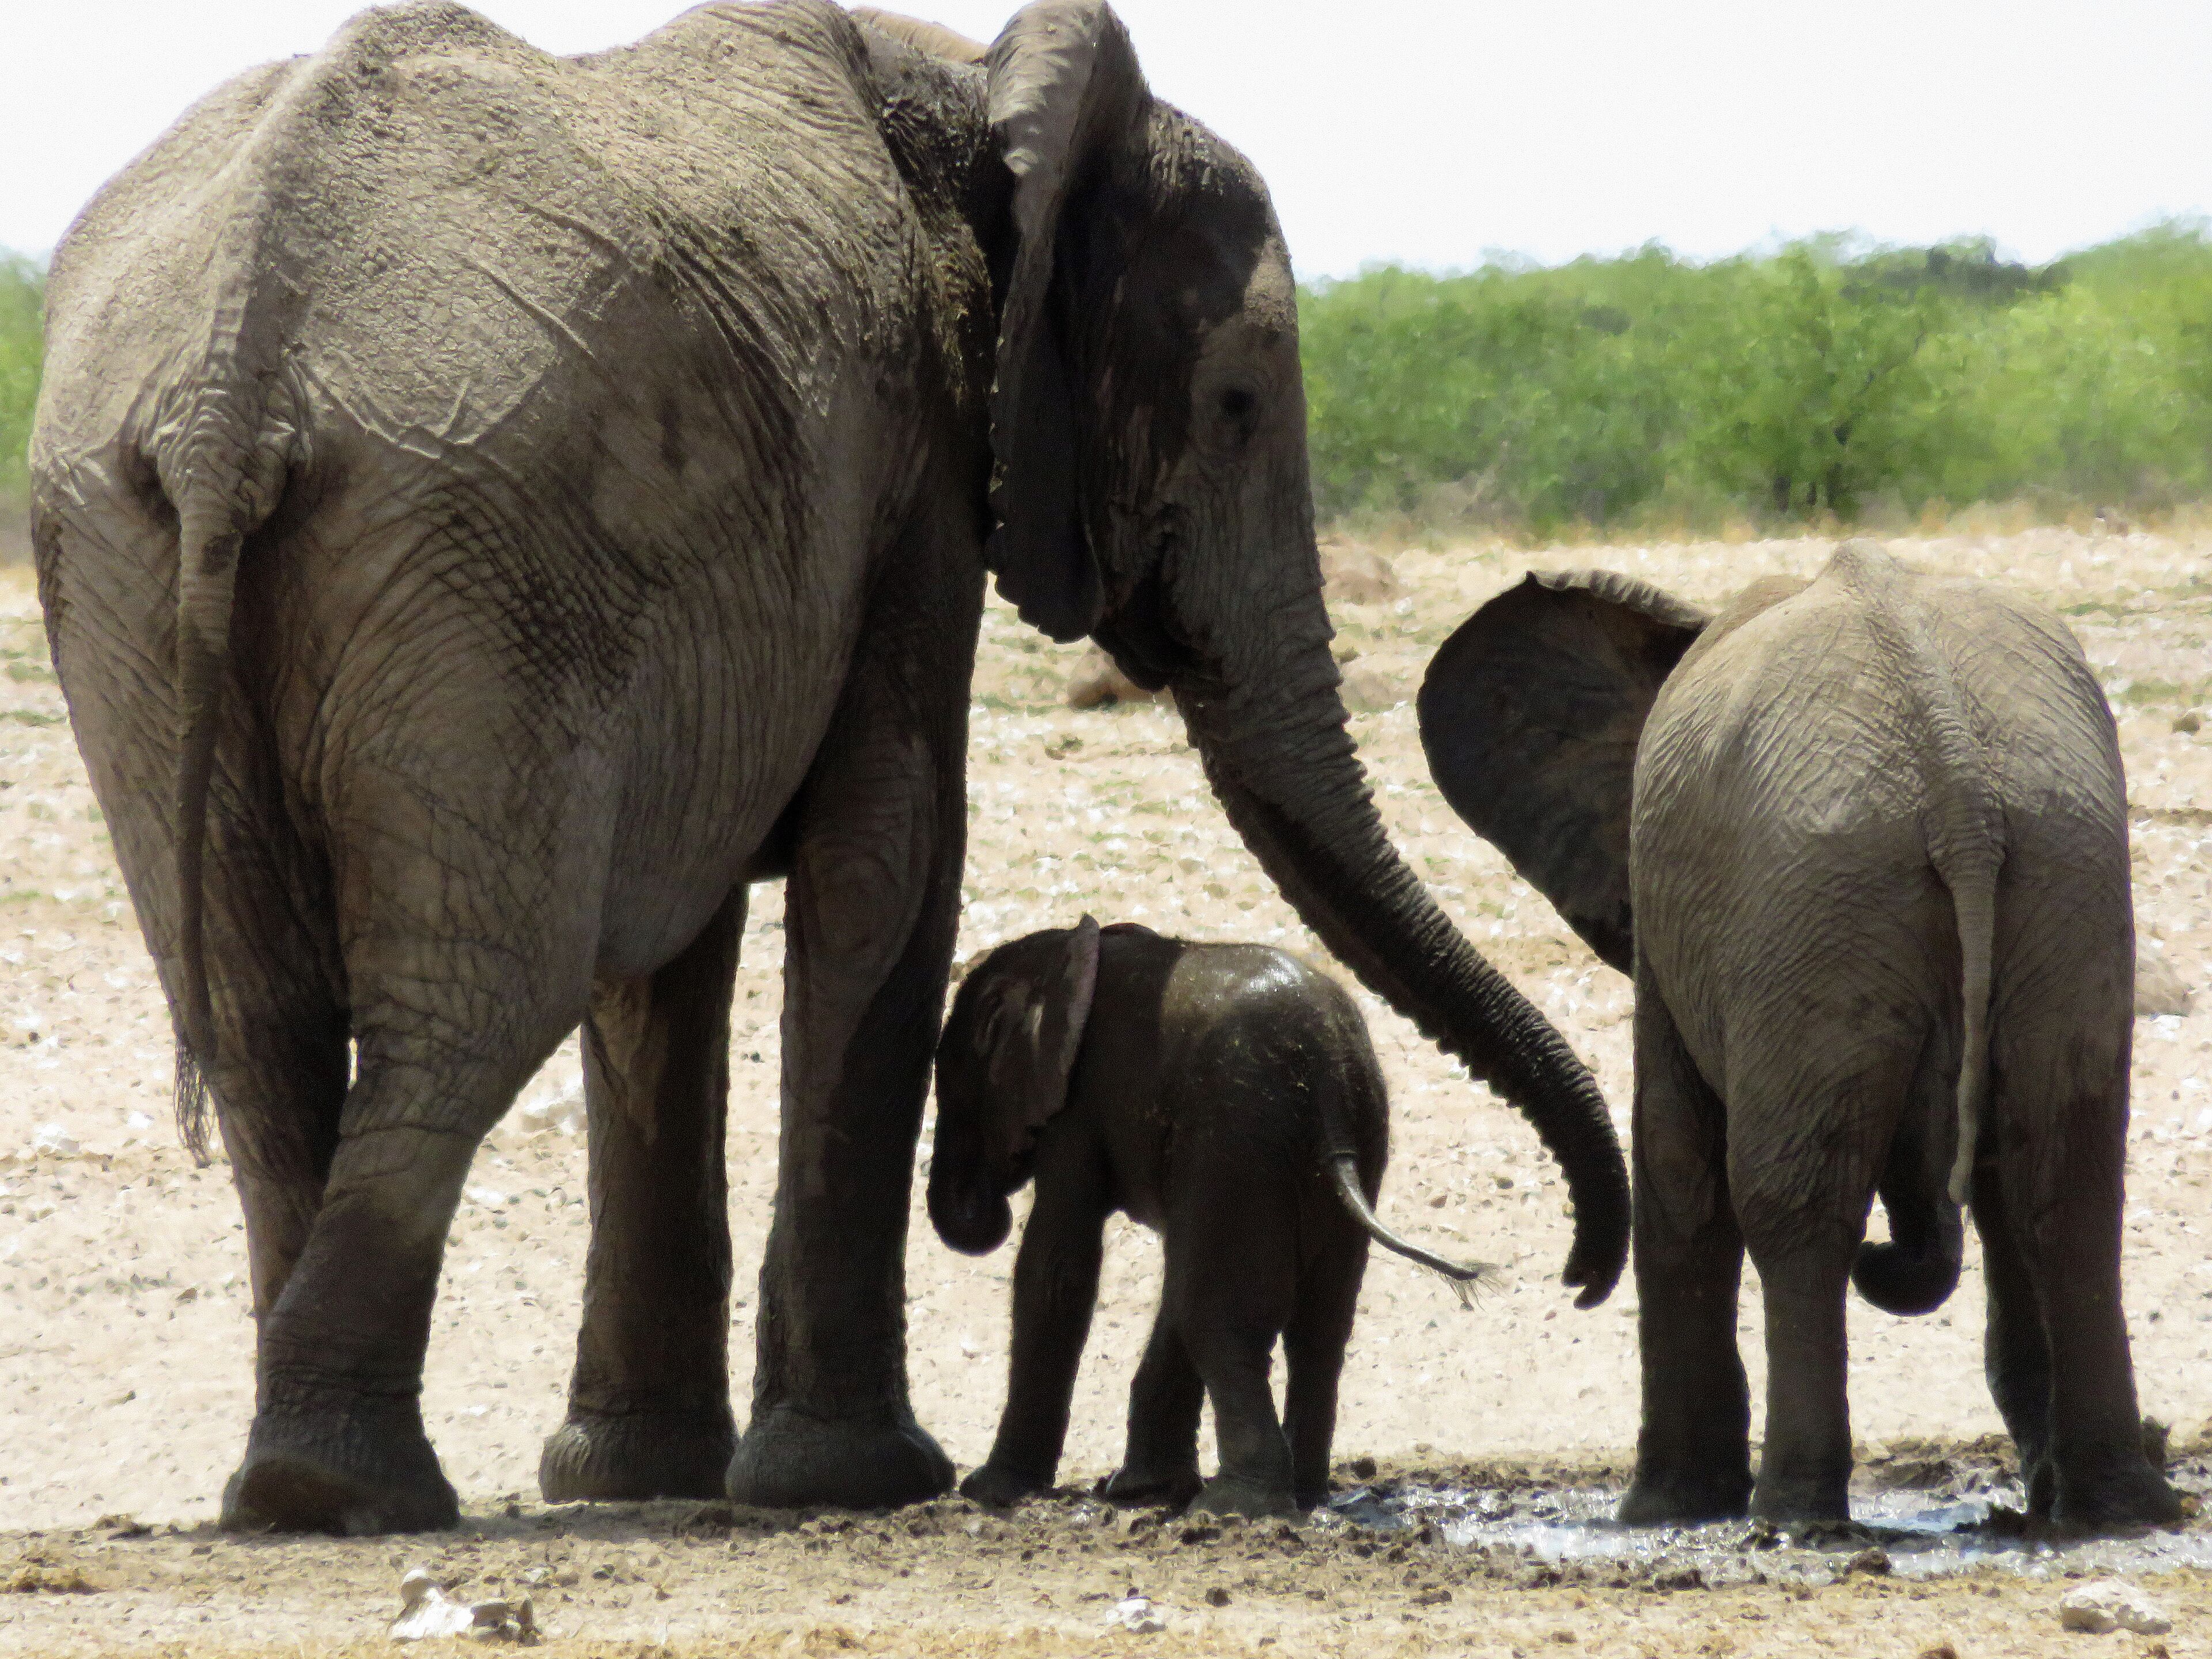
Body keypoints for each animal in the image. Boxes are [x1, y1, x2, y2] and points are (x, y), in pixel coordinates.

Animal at [929, 916, 1487, 1515]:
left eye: (955, 1094)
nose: (989, 1202)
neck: (1063, 951)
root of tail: (1326, 1083)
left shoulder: (1076, 1109)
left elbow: (1056, 1269)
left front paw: (989, 1492)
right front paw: (1142, 1491)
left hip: (1238, 1133)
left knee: (1218, 1317)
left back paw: (1235, 1506)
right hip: (1347, 1134)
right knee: (1316, 1326)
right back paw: (1303, 1495)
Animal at [1416, 541, 2180, 1528]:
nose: (1572, 1284)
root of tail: (1961, 792)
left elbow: (1676, 1160)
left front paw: (1662, 1512)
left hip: (1820, 904)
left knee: (1798, 1202)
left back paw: (1792, 1515)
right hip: (2057, 877)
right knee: (2064, 1181)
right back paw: (2117, 1508)